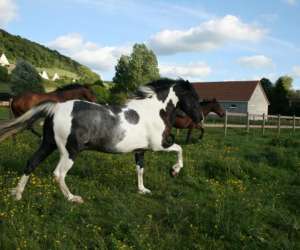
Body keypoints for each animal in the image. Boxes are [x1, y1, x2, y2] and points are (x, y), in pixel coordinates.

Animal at [0, 78, 202, 203]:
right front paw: (174, 171)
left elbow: (140, 170)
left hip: (48, 144)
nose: (200, 118)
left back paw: (17, 194)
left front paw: (142, 190)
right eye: (193, 97)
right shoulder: (159, 145)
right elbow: (180, 149)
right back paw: (73, 198)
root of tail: (55, 108)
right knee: (58, 174)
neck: (156, 111)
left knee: (31, 163)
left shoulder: (140, 150)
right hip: (69, 152)